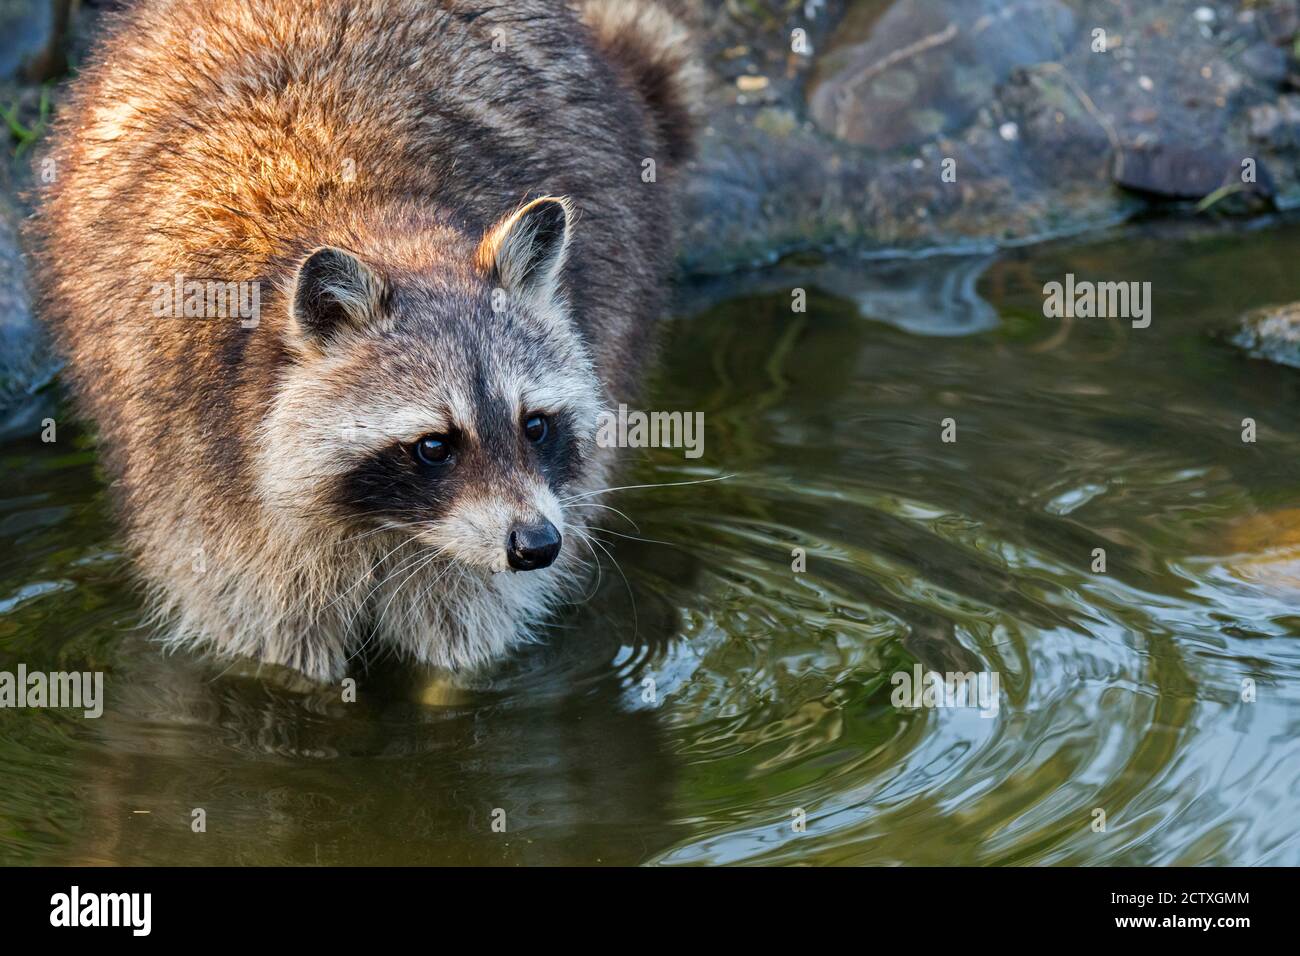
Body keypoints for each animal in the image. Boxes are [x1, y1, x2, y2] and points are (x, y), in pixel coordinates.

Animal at [27, 1, 702, 686]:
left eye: (534, 425)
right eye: (434, 444)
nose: (537, 545)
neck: (373, 222)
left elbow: (465, 629)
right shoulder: (201, 469)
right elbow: (271, 643)